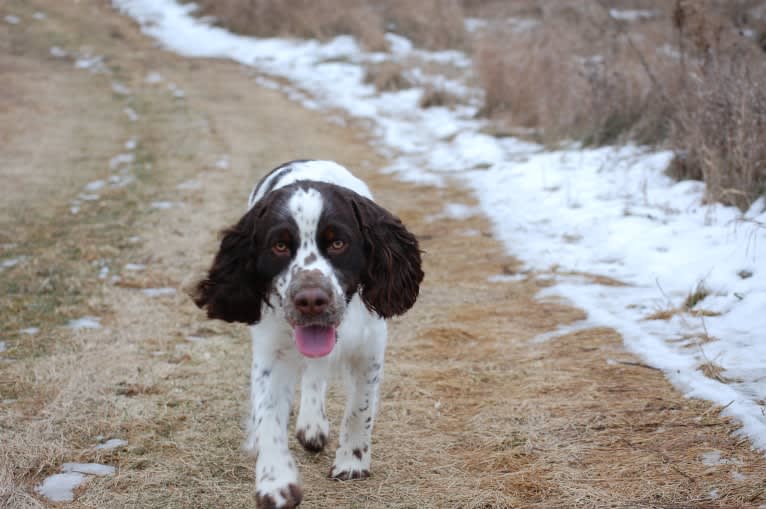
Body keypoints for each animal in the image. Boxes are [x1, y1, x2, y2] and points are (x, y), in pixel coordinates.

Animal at [190, 158, 424, 504]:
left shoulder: (369, 349)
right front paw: (275, 482)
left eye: (338, 243)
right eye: (279, 245)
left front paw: (352, 462)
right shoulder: (271, 351)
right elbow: (269, 415)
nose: (311, 300)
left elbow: (360, 408)